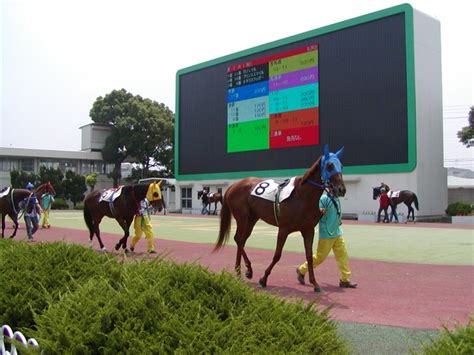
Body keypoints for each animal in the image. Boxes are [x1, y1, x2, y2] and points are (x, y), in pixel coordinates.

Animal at [214, 145, 344, 292]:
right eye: (329, 166)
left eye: (341, 166)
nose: (341, 189)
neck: (302, 196)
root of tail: (233, 186)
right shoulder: (283, 229)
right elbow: (277, 255)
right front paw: (264, 278)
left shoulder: (308, 230)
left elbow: (310, 256)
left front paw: (314, 283)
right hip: (243, 217)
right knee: (239, 239)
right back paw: (245, 270)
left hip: (252, 219)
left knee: (241, 240)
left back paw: (242, 271)